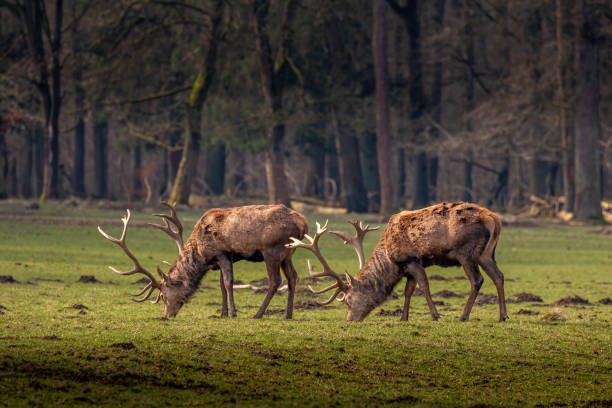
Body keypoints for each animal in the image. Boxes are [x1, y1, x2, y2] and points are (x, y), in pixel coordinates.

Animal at [98, 203, 308, 318]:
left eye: (163, 295)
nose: (166, 315)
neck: (200, 252)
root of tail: (303, 223)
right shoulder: (221, 259)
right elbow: (222, 285)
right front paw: (222, 313)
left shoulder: (222, 253)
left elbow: (228, 282)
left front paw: (233, 313)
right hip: (288, 253)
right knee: (293, 277)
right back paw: (288, 314)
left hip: (271, 250)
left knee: (275, 281)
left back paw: (258, 314)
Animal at [290, 202, 510, 324]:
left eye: (347, 300)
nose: (349, 320)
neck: (390, 261)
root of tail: (494, 218)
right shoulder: (407, 268)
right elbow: (408, 291)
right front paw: (403, 317)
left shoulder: (411, 260)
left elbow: (424, 286)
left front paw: (435, 315)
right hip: (487, 253)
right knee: (499, 276)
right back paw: (503, 316)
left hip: (466, 252)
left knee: (477, 280)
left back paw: (463, 316)